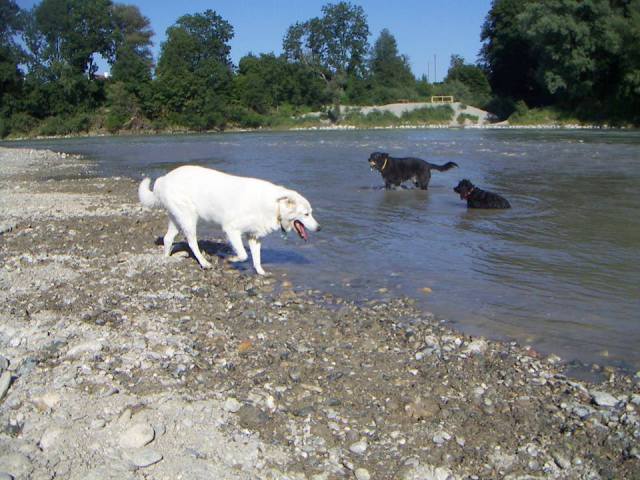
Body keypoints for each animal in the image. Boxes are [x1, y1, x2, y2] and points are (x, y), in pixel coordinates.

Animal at [139, 165, 320, 276]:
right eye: (306, 214)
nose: (319, 228)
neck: (275, 206)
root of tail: (163, 179)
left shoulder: (254, 236)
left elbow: (256, 258)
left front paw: (261, 272)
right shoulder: (231, 229)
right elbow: (243, 255)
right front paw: (231, 260)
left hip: (177, 218)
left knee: (168, 238)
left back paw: (167, 258)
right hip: (188, 218)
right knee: (191, 242)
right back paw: (204, 263)